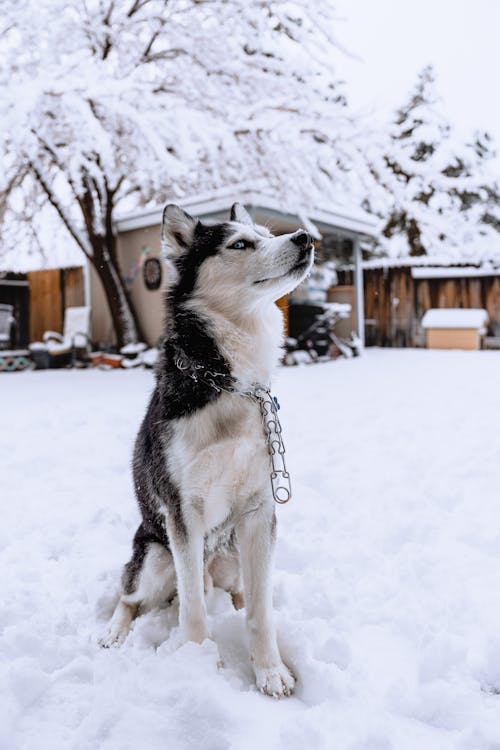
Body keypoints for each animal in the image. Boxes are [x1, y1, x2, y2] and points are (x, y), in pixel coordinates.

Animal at [99, 204, 314, 700]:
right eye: (240, 244)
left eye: (265, 233)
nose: (305, 238)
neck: (229, 383)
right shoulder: (183, 512)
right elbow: (194, 609)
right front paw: (199, 669)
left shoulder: (259, 512)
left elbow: (260, 612)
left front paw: (271, 670)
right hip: (155, 557)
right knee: (130, 594)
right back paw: (114, 631)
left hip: (233, 557)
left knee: (237, 594)